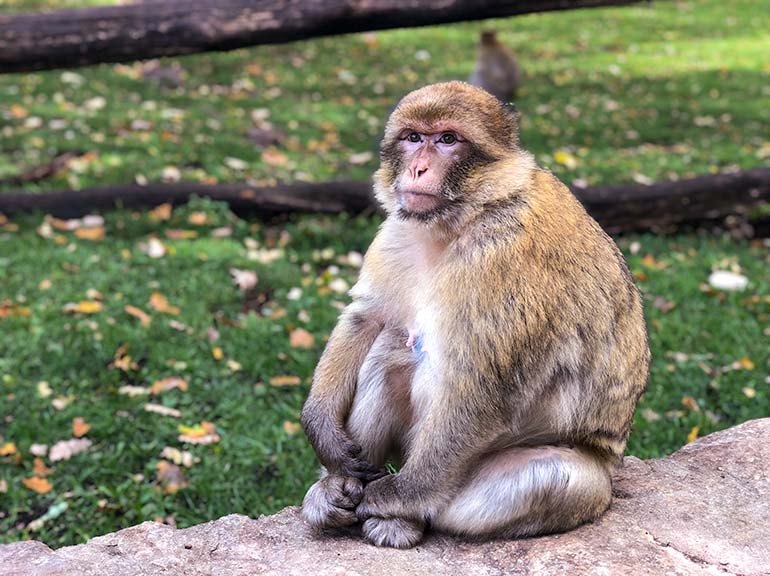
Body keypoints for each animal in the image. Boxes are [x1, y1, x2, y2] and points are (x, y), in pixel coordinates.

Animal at [300, 82, 648, 548]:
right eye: (414, 137)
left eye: (448, 139)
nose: (418, 169)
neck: (465, 217)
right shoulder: (398, 230)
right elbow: (366, 316)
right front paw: (323, 433)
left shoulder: (501, 255)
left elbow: (486, 385)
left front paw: (394, 497)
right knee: (389, 348)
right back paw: (337, 490)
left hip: (580, 481)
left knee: (551, 478)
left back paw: (403, 516)